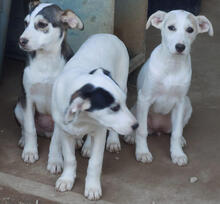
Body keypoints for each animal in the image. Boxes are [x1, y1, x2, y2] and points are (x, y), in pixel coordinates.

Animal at [13, 0, 83, 163]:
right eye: (25, 23)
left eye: (42, 24)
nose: (21, 41)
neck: (46, 60)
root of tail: (46, 131)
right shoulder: (27, 99)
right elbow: (30, 128)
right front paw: (30, 151)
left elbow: (57, 139)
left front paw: (55, 160)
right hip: (18, 108)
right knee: (25, 127)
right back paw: (23, 140)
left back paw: (77, 141)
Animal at [47, 34, 138, 200]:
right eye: (114, 108)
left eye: (122, 104)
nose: (136, 125)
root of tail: (108, 35)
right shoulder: (65, 132)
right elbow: (69, 158)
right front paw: (67, 179)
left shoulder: (100, 131)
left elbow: (95, 163)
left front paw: (92, 187)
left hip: (122, 80)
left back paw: (109, 141)